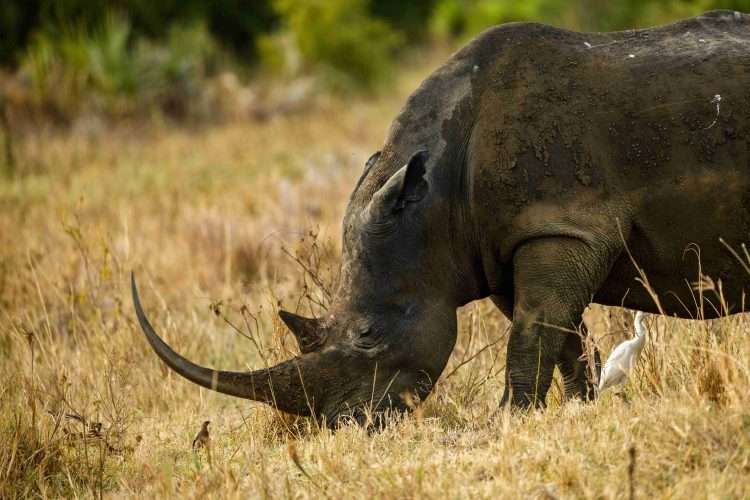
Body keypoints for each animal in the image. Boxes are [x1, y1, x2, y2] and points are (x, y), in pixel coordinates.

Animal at [132, 10, 750, 426]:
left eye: (368, 335)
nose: (344, 425)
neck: (435, 205)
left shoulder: (560, 225)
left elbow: (530, 332)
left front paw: (508, 421)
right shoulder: (506, 245)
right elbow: (558, 331)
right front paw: (581, 407)